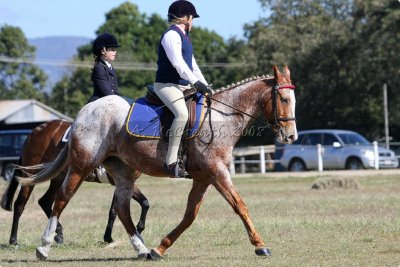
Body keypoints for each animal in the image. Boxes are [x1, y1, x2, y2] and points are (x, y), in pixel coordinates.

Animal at [0, 120, 149, 246]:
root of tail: (36, 131)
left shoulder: (120, 183)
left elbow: (115, 210)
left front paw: (108, 238)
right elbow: (144, 203)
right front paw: (138, 229)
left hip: (58, 177)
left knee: (45, 201)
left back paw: (59, 234)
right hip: (31, 175)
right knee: (20, 204)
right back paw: (14, 240)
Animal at [18, 66, 296, 262]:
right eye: (283, 99)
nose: (291, 136)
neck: (221, 117)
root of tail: (81, 115)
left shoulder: (204, 177)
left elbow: (189, 215)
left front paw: (159, 248)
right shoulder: (217, 173)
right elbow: (240, 206)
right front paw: (260, 246)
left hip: (123, 173)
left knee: (121, 208)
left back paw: (141, 249)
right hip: (80, 166)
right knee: (60, 200)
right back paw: (44, 246)